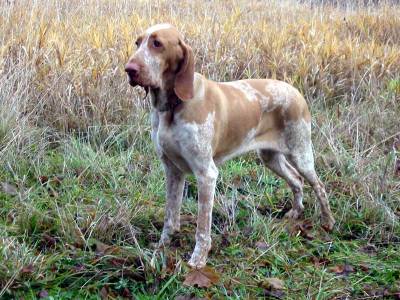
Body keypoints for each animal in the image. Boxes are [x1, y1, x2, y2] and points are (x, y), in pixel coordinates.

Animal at [124, 22, 334, 268]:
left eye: (157, 43)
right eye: (138, 43)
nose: (129, 69)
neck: (172, 106)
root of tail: (296, 92)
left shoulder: (206, 174)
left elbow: (202, 227)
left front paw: (198, 259)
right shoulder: (172, 170)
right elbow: (170, 216)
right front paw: (161, 248)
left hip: (300, 153)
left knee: (318, 185)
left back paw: (328, 221)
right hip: (270, 157)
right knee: (296, 179)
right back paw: (296, 212)